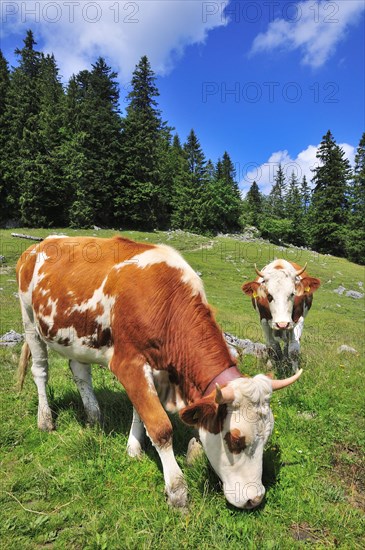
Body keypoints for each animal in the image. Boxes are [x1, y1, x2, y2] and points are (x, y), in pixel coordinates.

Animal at [17, 238, 302, 512]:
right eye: (234, 440)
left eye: (267, 438)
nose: (255, 499)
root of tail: (39, 244)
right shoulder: (128, 363)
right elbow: (160, 426)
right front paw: (177, 491)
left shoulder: (154, 368)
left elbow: (140, 410)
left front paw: (133, 447)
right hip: (29, 320)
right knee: (40, 371)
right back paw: (45, 420)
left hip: (78, 336)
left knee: (80, 372)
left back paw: (94, 417)